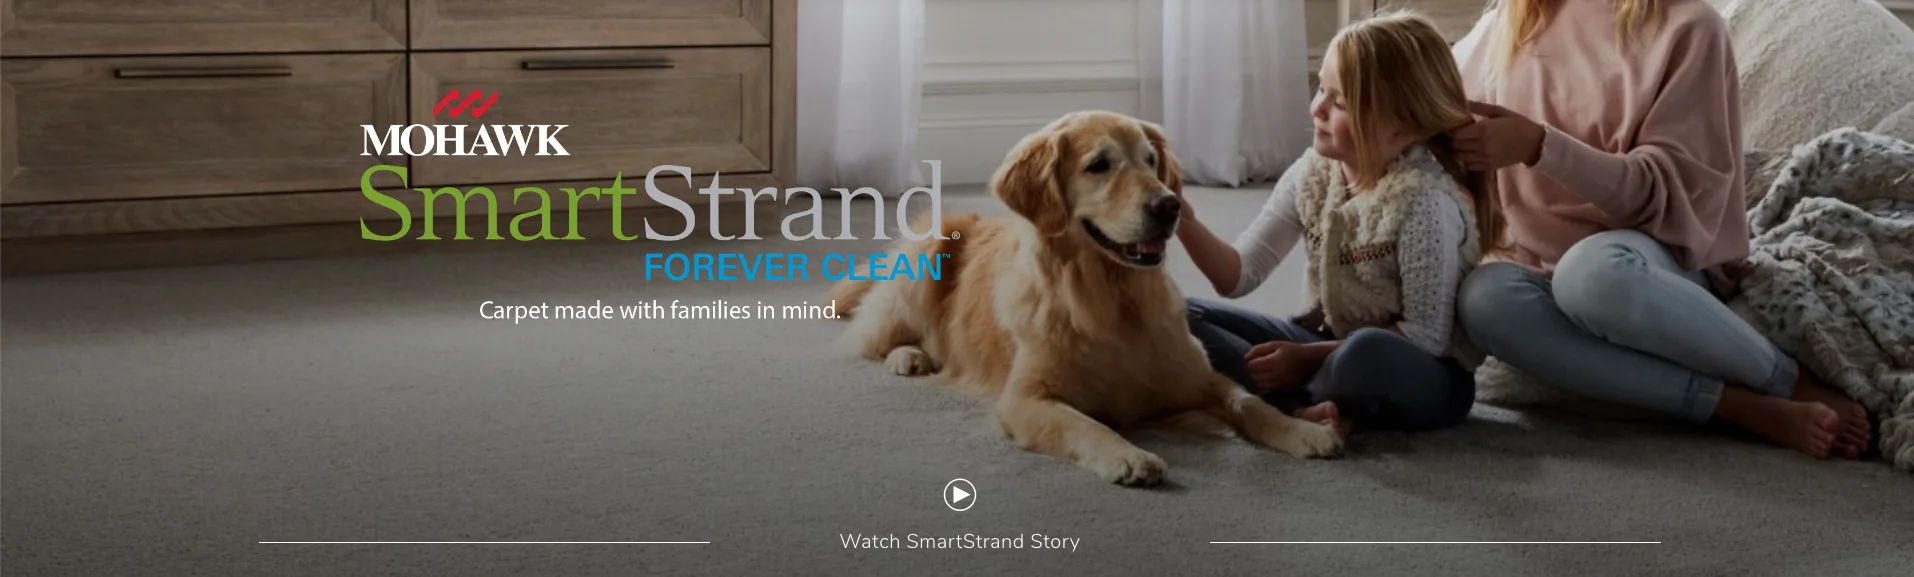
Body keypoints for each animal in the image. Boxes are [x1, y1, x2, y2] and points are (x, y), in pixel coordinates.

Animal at [826, 108, 1347, 484]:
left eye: (1151, 160)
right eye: (1099, 165)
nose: (1169, 206)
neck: (1113, 296)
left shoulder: (1201, 378)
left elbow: (1250, 402)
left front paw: (1304, 430)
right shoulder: (1026, 400)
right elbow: (1085, 424)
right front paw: (1129, 456)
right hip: (931, 251)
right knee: (871, 338)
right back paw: (909, 356)